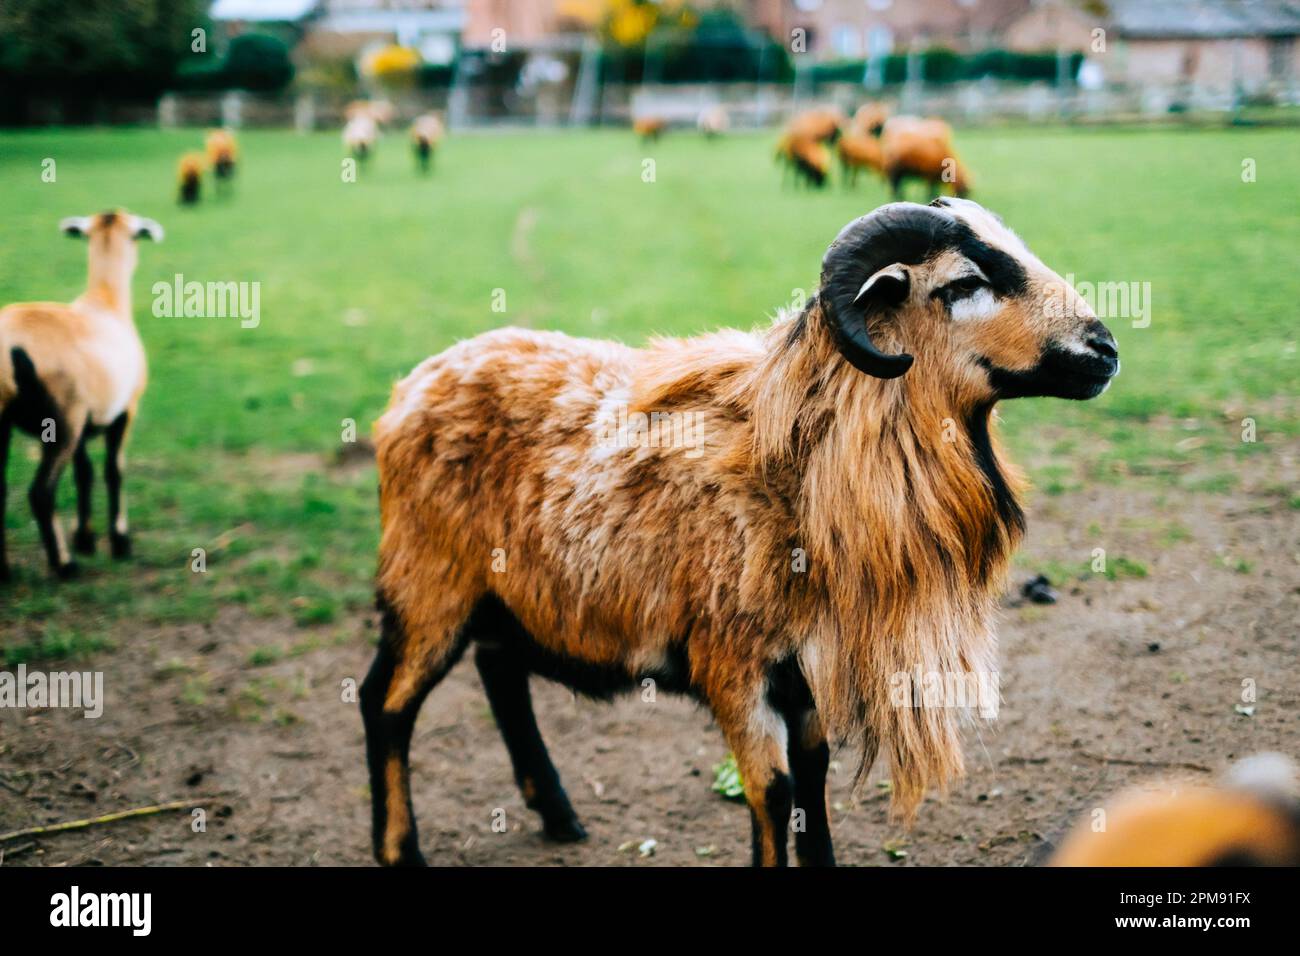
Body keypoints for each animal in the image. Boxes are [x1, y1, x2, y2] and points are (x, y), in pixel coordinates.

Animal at [361, 196, 1123, 868]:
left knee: (499, 672)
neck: (798, 463)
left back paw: (558, 816)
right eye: (964, 283)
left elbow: (813, 782)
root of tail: (413, 384)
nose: (1105, 348)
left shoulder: (808, 667)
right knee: (386, 703)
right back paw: (401, 849)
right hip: (428, 581)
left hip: (503, 591)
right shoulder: (733, 665)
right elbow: (773, 790)